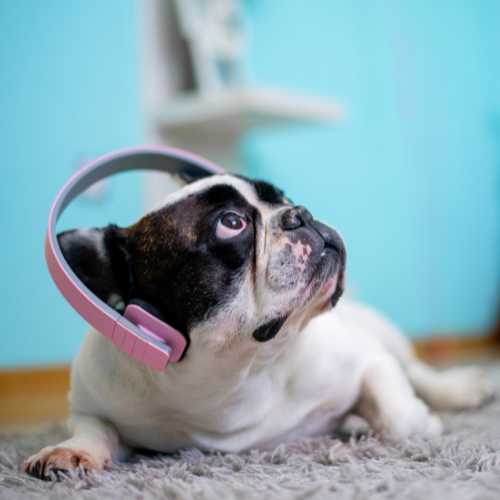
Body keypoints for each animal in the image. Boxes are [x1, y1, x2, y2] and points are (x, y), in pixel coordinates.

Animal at [22, 174, 492, 478]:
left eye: (281, 196)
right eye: (232, 223)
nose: (300, 213)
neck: (240, 373)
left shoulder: (365, 359)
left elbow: (399, 417)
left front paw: (424, 423)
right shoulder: (93, 400)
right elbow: (93, 428)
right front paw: (69, 451)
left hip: (383, 333)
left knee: (417, 371)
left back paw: (463, 388)